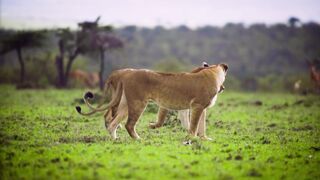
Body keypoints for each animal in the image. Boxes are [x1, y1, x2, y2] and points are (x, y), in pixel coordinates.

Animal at [76, 62, 229, 140]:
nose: (223, 88)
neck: (212, 72)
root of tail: (126, 73)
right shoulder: (197, 105)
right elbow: (194, 125)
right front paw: (192, 139)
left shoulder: (201, 108)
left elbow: (201, 125)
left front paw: (204, 139)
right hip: (138, 103)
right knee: (128, 124)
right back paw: (138, 139)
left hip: (125, 104)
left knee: (113, 121)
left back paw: (115, 139)